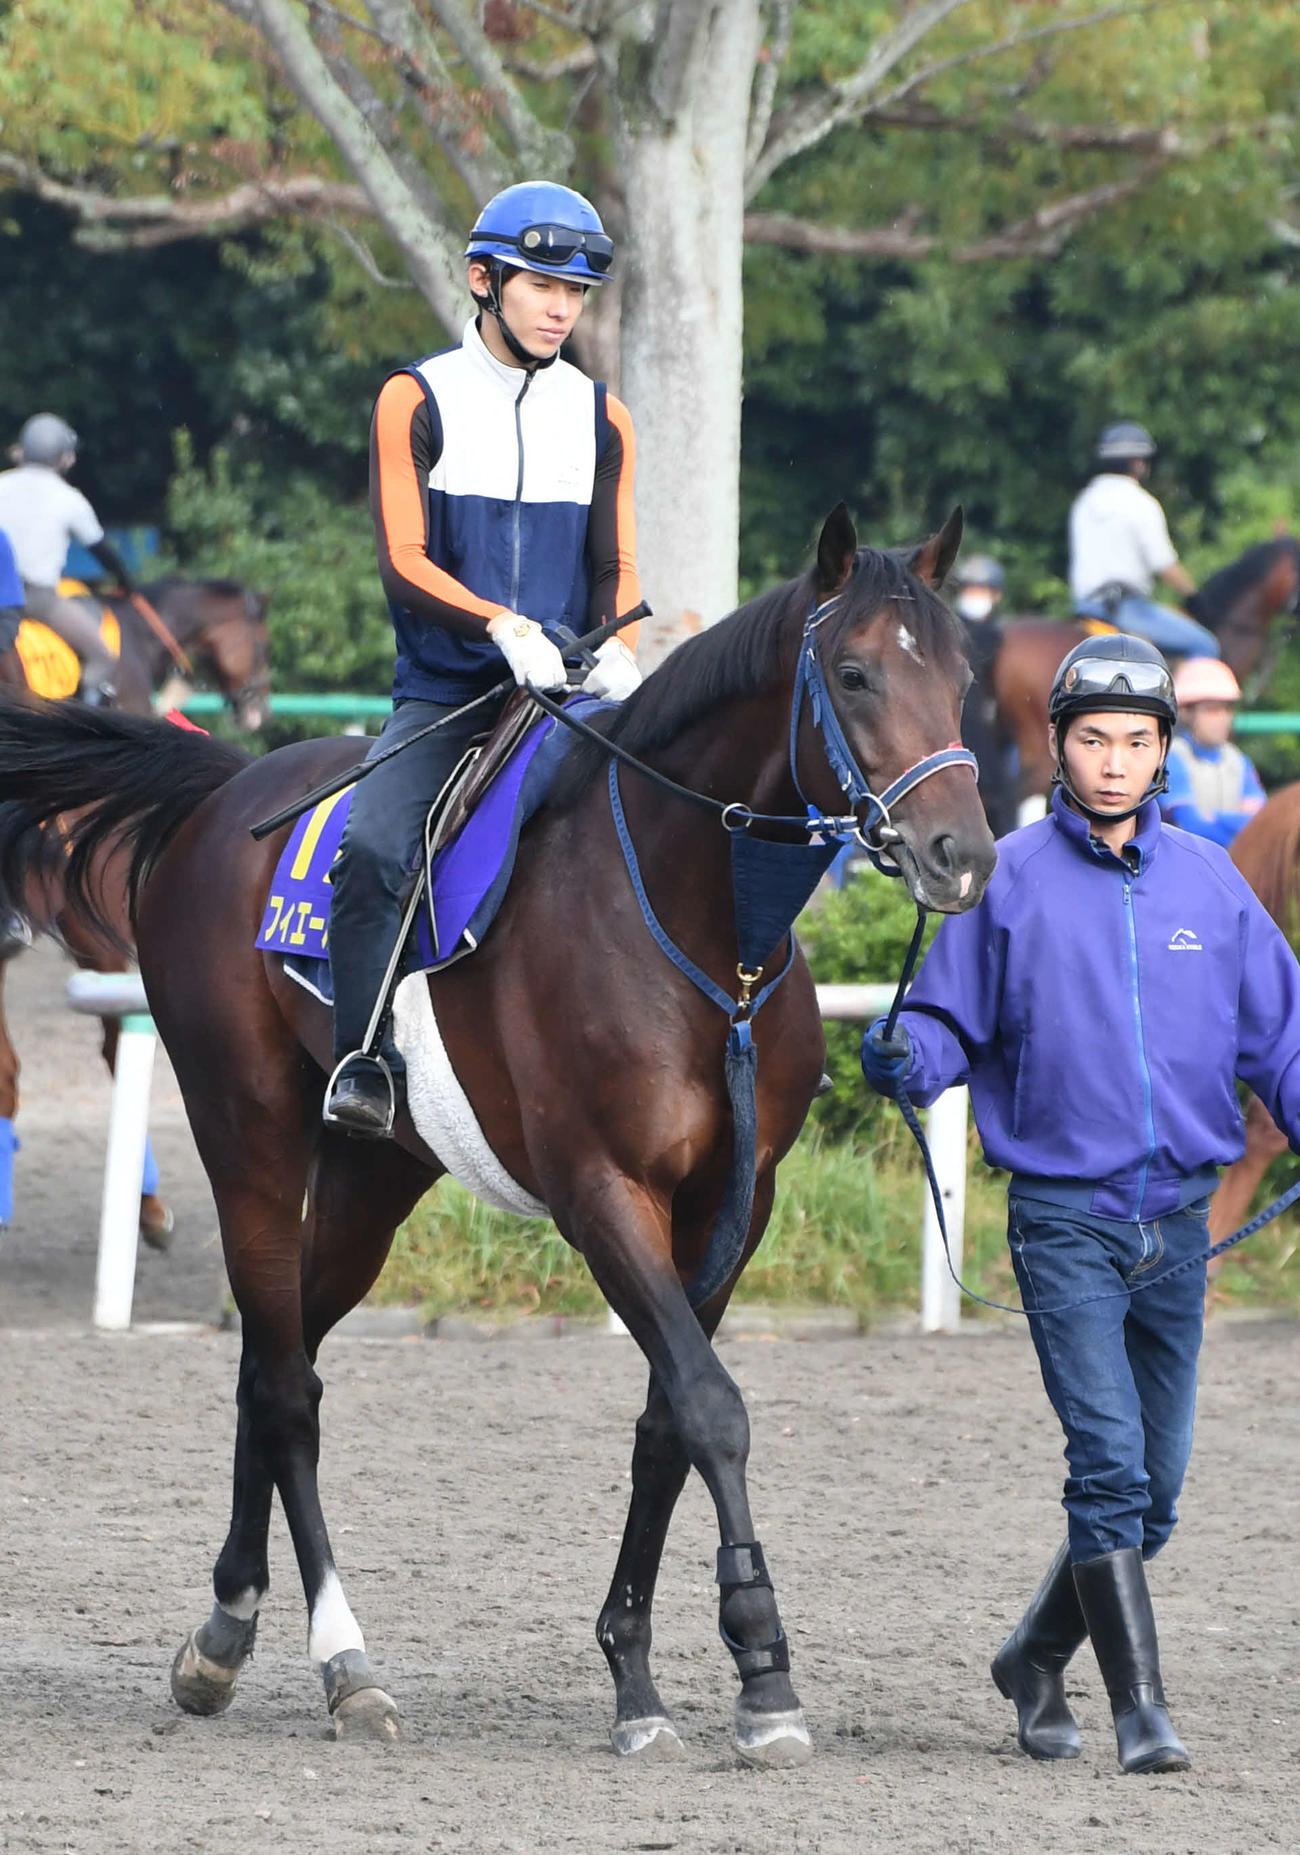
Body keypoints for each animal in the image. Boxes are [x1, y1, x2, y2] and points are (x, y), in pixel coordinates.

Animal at [0, 506, 995, 1761]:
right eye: (856, 673)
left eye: (962, 677)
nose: (961, 854)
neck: (701, 932)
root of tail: (229, 789)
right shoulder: (601, 1191)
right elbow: (710, 1404)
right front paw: (762, 1665)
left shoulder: (734, 1204)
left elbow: (667, 1418)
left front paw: (636, 1670)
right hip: (251, 1141)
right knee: (284, 1389)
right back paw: (344, 1664)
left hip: (371, 1182)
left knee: (273, 1361)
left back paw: (224, 1629)